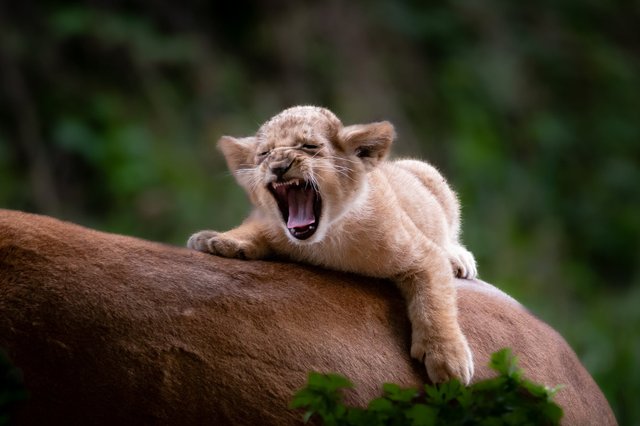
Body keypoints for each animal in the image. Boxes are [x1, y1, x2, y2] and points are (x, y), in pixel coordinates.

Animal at [188, 105, 478, 382]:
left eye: (309, 146)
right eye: (265, 153)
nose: (278, 166)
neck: (325, 240)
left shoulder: (423, 254)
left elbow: (434, 302)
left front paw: (448, 358)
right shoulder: (269, 223)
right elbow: (251, 228)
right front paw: (217, 239)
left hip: (428, 173)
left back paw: (459, 258)